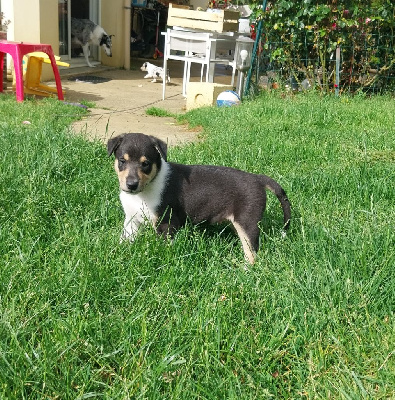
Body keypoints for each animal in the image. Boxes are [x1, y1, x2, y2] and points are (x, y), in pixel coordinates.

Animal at [107, 132, 290, 262]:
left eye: (145, 163)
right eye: (122, 160)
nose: (131, 184)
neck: (143, 192)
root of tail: (258, 178)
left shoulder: (167, 222)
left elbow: (165, 247)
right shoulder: (131, 221)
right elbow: (124, 239)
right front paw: (117, 254)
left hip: (247, 222)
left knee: (252, 252)